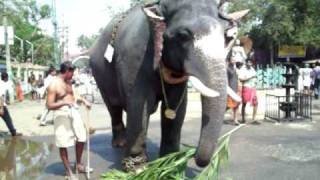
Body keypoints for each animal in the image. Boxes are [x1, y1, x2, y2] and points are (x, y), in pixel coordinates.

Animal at [89, 0, 246, 171]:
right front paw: (137, 169)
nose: (193, 153)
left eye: (225, 37)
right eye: (183, 36)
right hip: (99, 75)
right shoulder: (134, 56)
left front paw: (170, 163)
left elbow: (177, 106)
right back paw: (120, 144)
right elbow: (138, 103)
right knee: (113, 106)